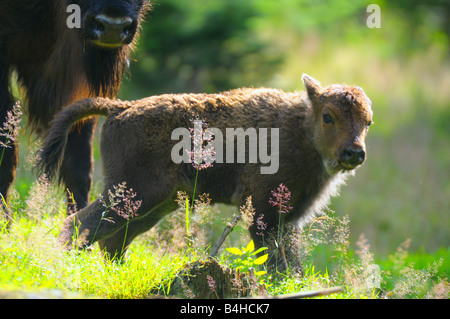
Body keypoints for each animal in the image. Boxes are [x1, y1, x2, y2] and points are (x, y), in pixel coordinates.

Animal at [37, 74, 372, 268]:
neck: (301, 126)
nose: (354, 153)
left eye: (368, 121)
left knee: (112, 239)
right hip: (133, 192)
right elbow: (275, 261)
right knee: (80, 224)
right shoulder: (264, 212)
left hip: (154, 205)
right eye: (328, 116)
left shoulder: (290, 218)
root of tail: (121, 107)